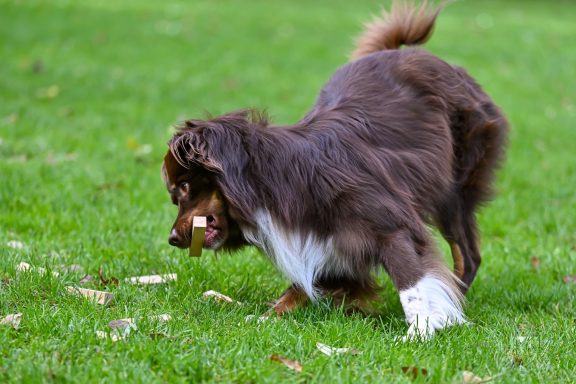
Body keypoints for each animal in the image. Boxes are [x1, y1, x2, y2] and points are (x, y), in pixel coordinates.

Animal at [162, 2, 508, 340]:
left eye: (184, 188)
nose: (172, 239)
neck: (271, 183)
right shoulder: (325, 244)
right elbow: (302, 286)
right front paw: (264, 318)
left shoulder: (392, 225)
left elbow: (412, 281)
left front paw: (422, 329)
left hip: (454, 189)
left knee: (467, 254)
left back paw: (457, 298)